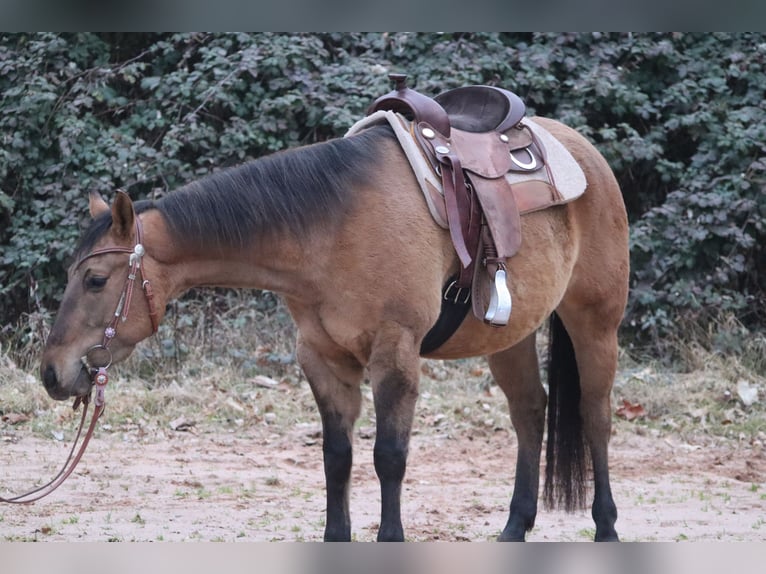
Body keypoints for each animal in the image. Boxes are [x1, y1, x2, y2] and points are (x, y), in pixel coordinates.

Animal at [40, 116, 629, 542]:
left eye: (95, 280)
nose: (51, 373)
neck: (330, 229)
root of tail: (584, 153)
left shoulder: (395, 352)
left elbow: (388, 457)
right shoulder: (322, 359)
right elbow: (337, 457)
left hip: (595, 324)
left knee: (595, 417)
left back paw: (605, 527)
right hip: (510, 336)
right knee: (530, 412)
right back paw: (513, 528)